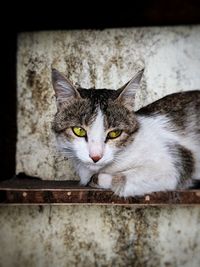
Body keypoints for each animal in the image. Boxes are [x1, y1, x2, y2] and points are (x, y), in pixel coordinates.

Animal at [52, 68, 200, 198]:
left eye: (115, 133)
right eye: (79, 130)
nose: (96, 156)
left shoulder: (174, 163)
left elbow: (119, 179)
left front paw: (99, 179)